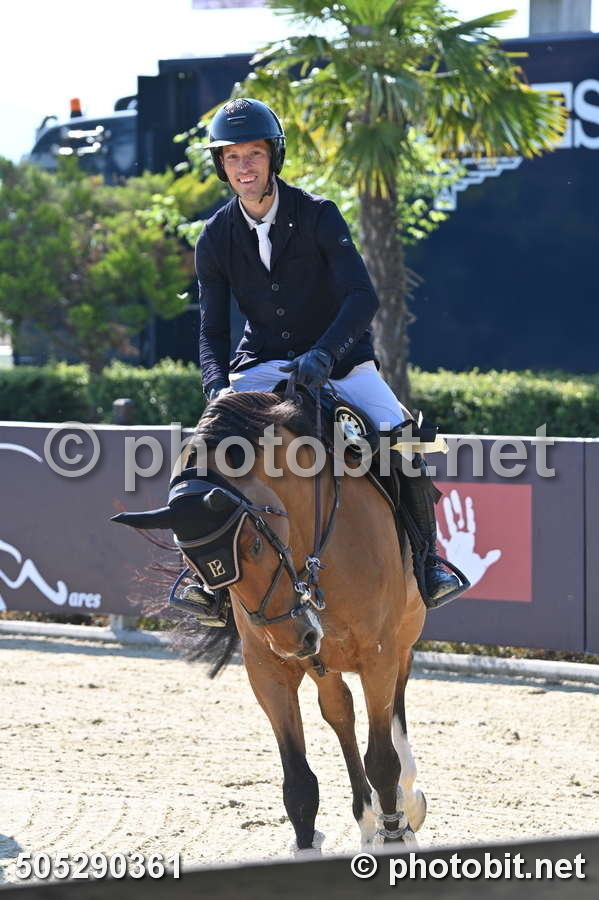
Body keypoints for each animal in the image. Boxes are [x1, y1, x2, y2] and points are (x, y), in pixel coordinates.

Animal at [113, 389, 428, 853]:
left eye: (256, 544)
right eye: (195, 562)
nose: (296, 637)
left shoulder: (377, 654)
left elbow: (382, 759)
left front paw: (396, 834)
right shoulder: (268, 668)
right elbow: (298, 784)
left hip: (400, 635)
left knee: (394, 707)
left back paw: (407, 804)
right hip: (321, 660)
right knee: (341, 712)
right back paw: (368, 818)